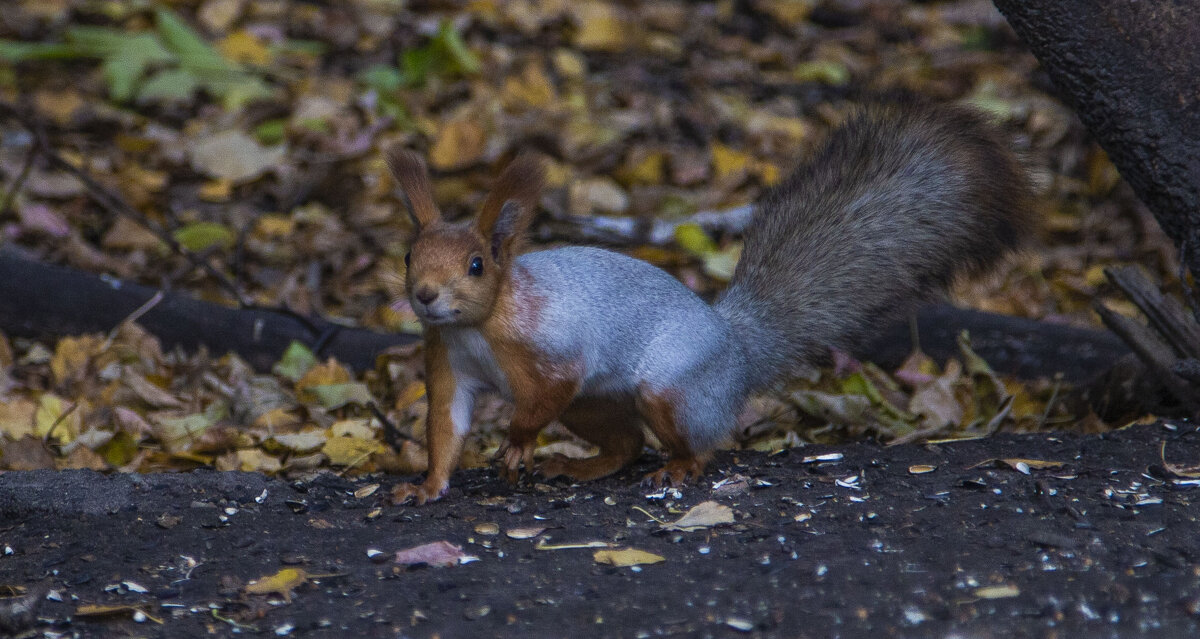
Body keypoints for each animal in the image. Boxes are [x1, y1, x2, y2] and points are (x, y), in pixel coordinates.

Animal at [388, 100, 1036, 504]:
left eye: (476, 265)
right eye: (408, 255)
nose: (424, 295)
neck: (480, 325)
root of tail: (737, 349)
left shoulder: (552, 348)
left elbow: (545, 392)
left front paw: (517, 443)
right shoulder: (448, 361)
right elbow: (446, 427)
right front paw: (427, 486)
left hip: (671, 389)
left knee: (697, 446)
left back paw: (676, 468)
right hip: (595, 405)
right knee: (626, 444)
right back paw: (579, 464)